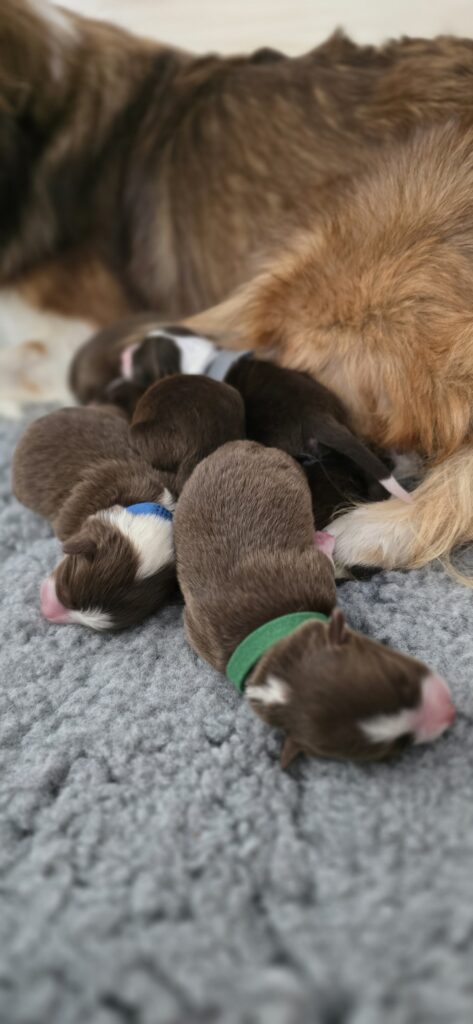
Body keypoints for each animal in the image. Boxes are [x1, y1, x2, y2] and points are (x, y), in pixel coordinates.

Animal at [174, 441, 455, 766]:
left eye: (400, 680)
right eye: (395, 745)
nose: (449, 711)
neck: (268, 630)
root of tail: (245, 445)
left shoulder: (314, 574)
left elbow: (323, 559)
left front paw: (324, 540)